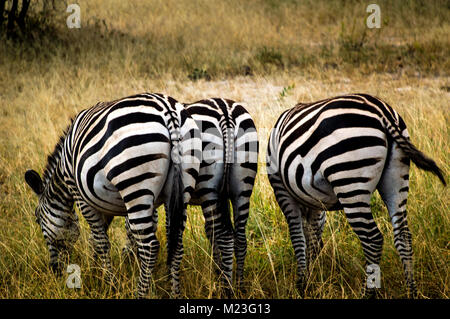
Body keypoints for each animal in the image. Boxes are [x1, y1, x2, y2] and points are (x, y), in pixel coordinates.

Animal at [24, 93, 200, 300]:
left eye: (37, 220)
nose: (55, 271)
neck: (63, 170)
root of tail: (168, 111)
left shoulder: (81, 195)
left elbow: (101, 242)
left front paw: (110, 284)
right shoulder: (121, 204)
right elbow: (104, 237)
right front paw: (98, 272)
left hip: (135, 185)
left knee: (149, 247)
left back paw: (139, 293)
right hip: (181, 187)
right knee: (176, 245)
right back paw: (175, 293)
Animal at [122, 99, 260, 294]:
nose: (126, 262)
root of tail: (225, 112)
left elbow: (167, 230)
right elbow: (210, 232)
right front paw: (217, 272)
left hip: (209, 184)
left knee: (226, 236)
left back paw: (227, 289)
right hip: (242, 185)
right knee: (240, 237)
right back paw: (239, 286)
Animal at [268, 94, 446, 298]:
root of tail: (382, 112)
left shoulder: (281, 189)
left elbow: (298, 236)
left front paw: (301, 284)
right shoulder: (315, 202)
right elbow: (312, 235)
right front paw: (309, 277)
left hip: (349, 180)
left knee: (373, 239)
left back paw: (366, 293)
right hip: (397, 175)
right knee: (403, 235)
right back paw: (412, 291)